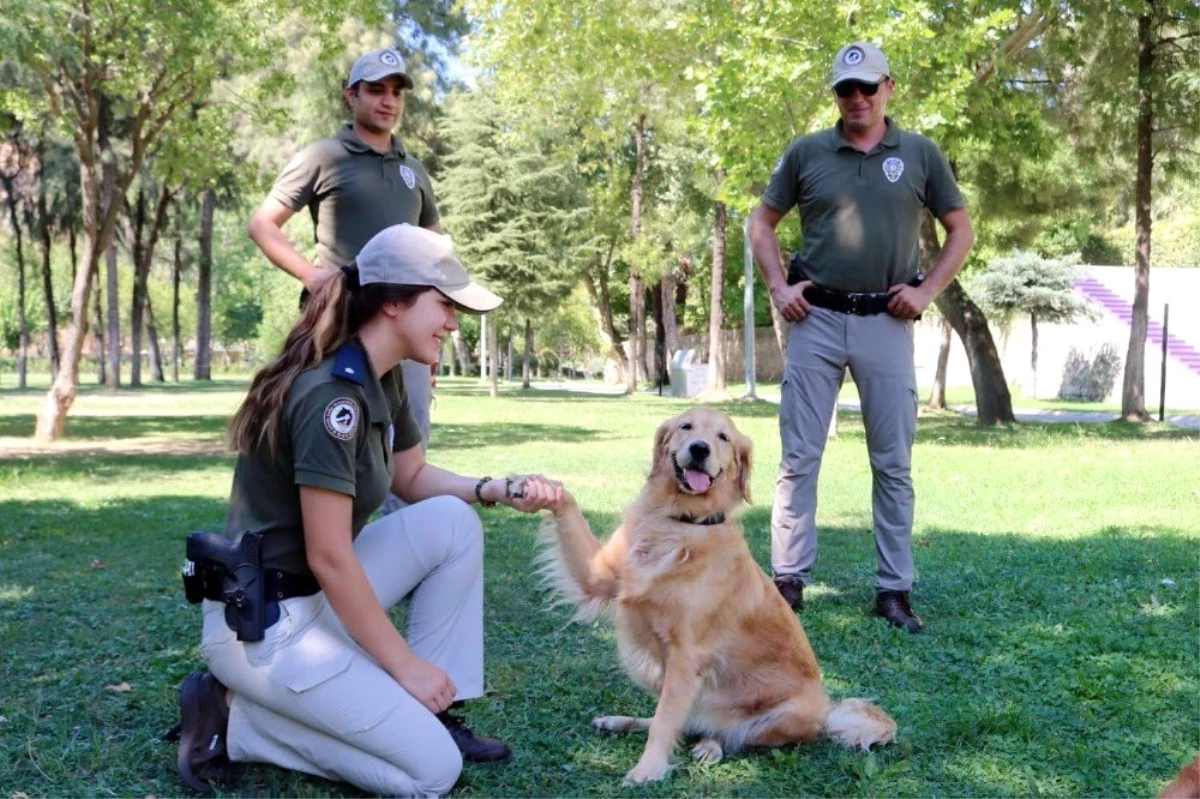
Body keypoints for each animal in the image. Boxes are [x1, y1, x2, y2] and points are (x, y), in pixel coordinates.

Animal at [540, 407, 897, 782]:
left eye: (723, 438)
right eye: (686, 427)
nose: (700, 448)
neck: (681, 523)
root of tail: (829, 712)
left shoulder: (687, 656)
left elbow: (666, 723)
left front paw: (647, 769)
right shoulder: (596, 578)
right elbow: (665, 719)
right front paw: (544, 491)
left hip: (793, 710)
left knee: (730, 735)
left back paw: (711, 746)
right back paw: (619, 722)